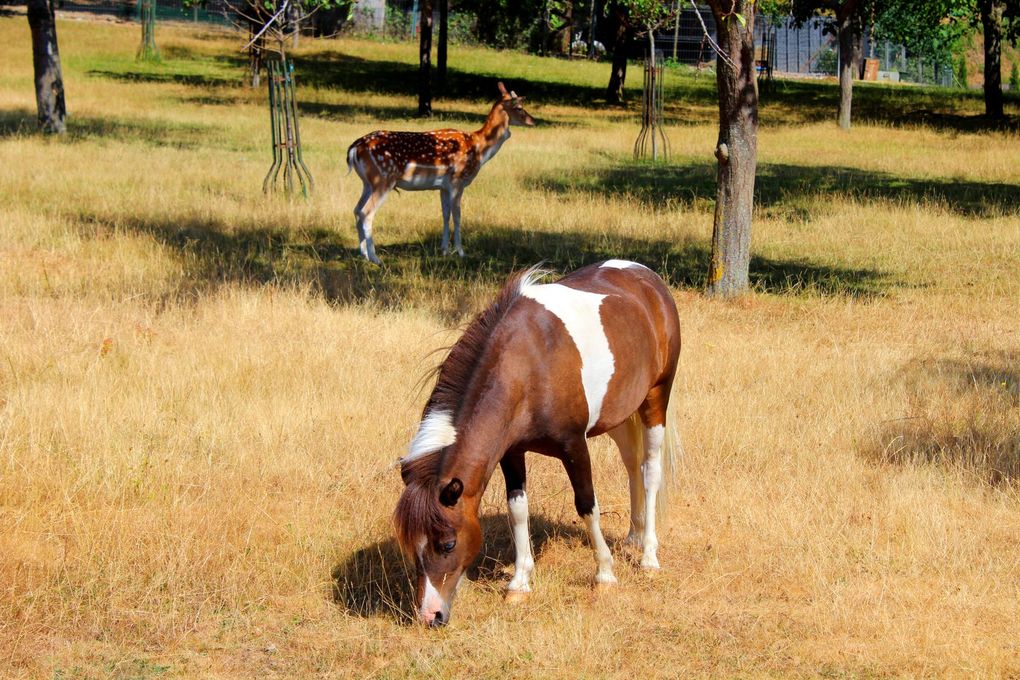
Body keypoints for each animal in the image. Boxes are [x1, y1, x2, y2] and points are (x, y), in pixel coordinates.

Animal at [344, 83, 534, 265]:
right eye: (519, 107)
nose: (533, 120)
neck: (479, 147)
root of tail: (354, 148)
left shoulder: (443, 186)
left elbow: (445, 214)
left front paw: (444, 250)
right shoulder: (458, 180)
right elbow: (457, 215)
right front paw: (461, 252)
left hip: (368, 182)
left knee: (357, 210)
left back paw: (363, 254)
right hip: (383, 179)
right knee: (366, 213)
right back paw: (375, 258)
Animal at [393, 260, 681, 628]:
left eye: (447, 544)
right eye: (410, 546)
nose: (431, 616)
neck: (528, 364)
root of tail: (649, 278)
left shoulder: (574, 446)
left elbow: (587, 505)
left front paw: (604, 574)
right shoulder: (511, 453)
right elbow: (518, 510)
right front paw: (519, 582)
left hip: (656, 399)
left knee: (650, 474)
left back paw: (648, 556)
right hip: (619, 413)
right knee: (632, 465)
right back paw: (632, 536)